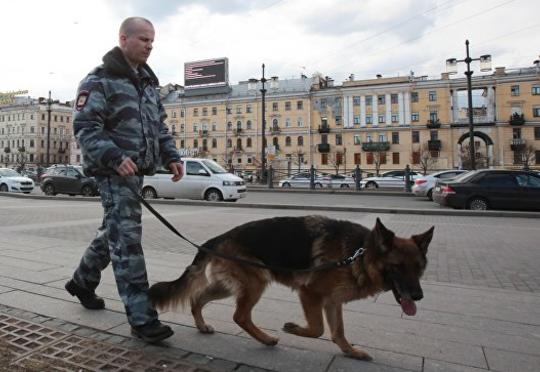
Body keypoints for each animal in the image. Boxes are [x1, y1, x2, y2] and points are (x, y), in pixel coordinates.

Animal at [149, 215, 434, 360]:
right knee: (240, 315)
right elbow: (318, 330)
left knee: (197, 297)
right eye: (398, 267)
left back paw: (202, 325)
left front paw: (350, 352)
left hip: (230, 286)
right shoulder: (310, 294)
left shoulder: (333, 301)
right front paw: (294, 329)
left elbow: (338, 332)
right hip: (255, 283)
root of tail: (219, 237)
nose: (418, 296)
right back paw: (266, 338)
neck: (360, 254)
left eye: (419, 268)